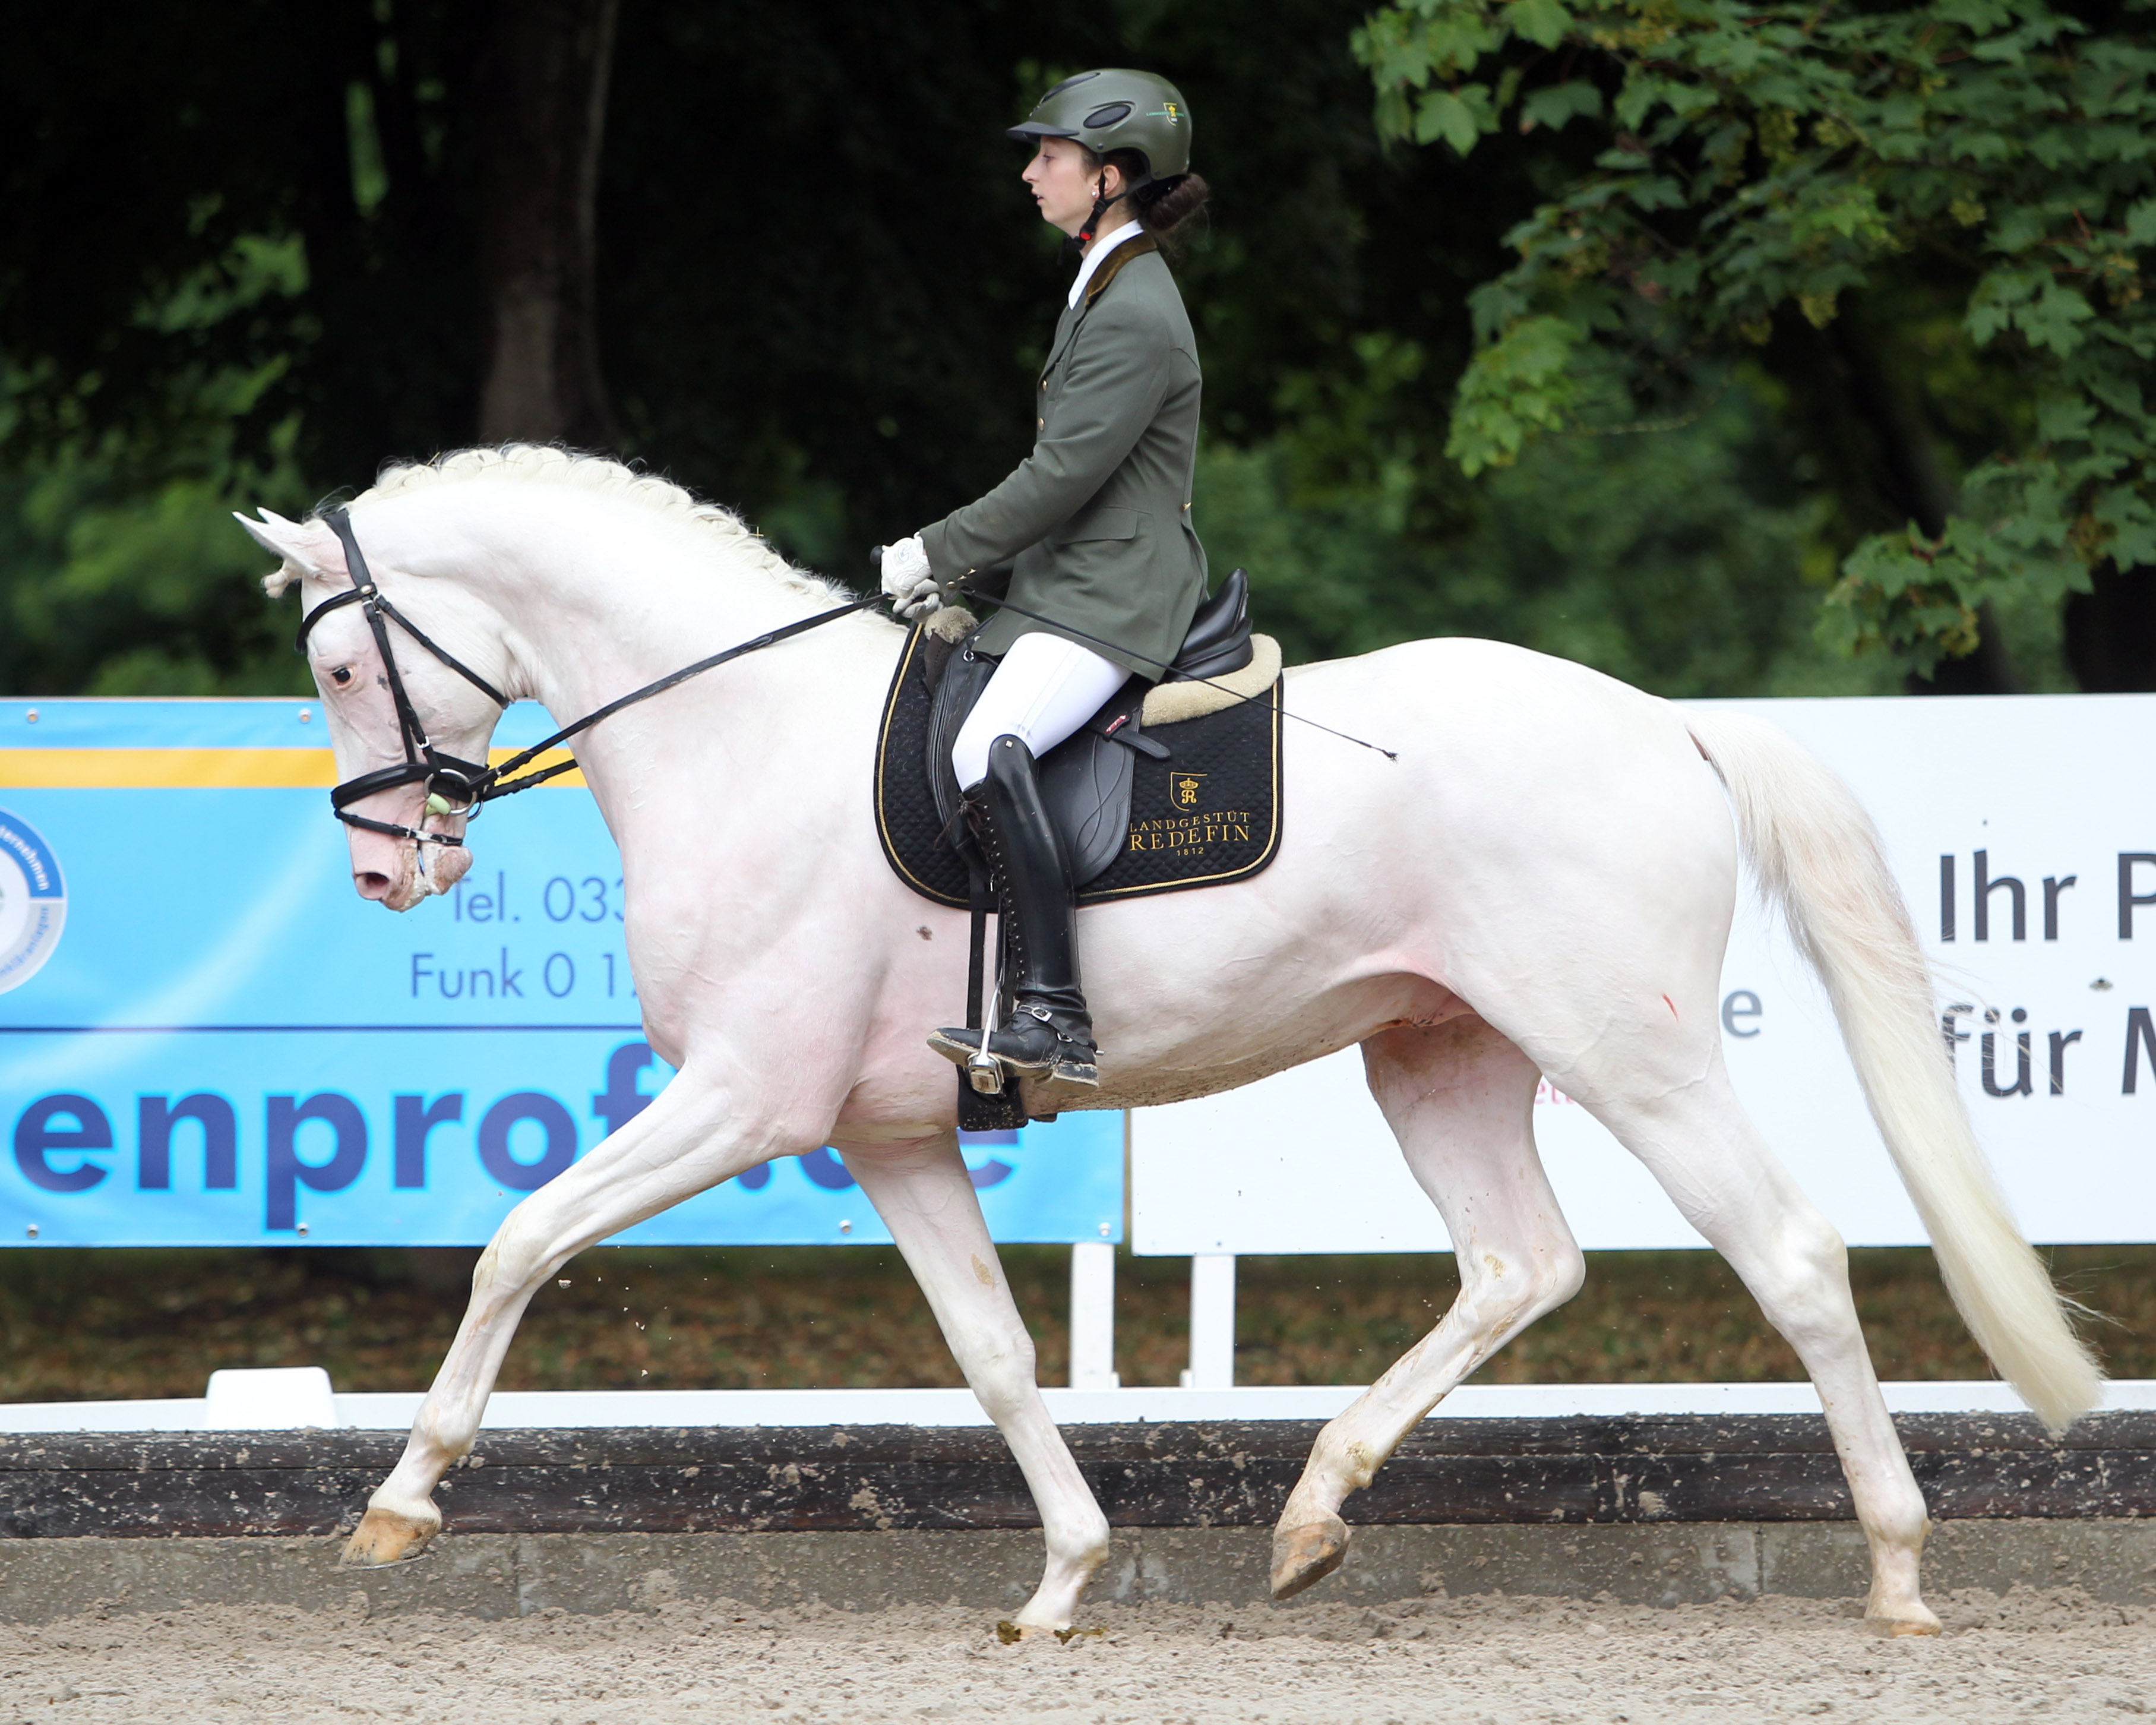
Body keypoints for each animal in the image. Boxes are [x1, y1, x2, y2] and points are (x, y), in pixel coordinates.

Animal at [232, 442, 2087, 1630]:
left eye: (338, 666)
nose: (387, 867)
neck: (732, 733)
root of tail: (1668, 723)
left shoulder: (743, 1098)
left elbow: (520, 1237)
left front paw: (400, 1503)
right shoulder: (884, 1131)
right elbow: (991, 1352)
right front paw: (1062, 1578)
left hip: (1629, 1051)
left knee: (1786, 1253)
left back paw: (1897, 1571)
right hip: (1438, 1051)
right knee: (1519, 1264)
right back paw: (1314, 1509)